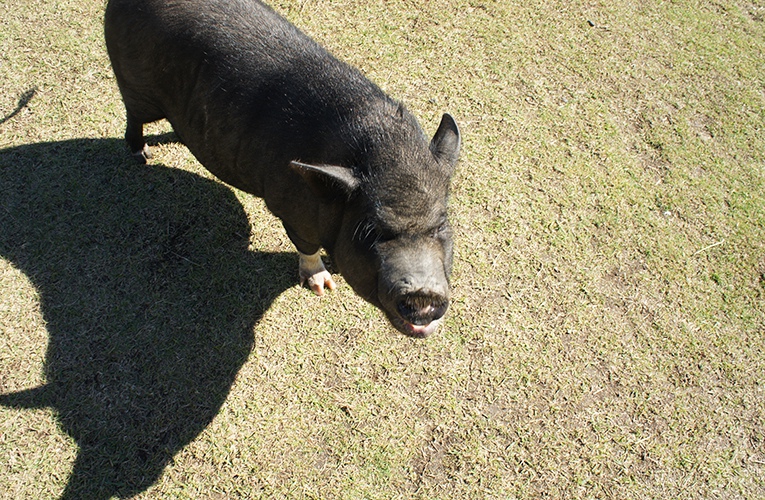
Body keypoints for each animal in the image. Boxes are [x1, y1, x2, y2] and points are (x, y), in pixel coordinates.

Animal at [101, 0, 460, 340]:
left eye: (441, 225)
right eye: (371, 230)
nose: (424, 294)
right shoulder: (290, 207)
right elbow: (306, 247)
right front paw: (322, 287)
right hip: (134, 85)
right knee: (132, 116)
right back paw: (141, 155)